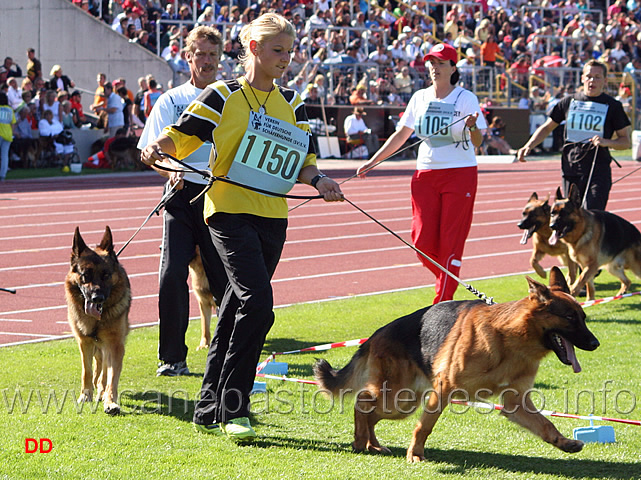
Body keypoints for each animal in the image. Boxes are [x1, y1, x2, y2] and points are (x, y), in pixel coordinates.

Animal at [64, 227, 130, 414]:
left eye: (106, 275)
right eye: (85, 275)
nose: (97, 298)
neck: (97, 320)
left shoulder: (115, 345)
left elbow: (111, 377)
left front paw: (111, 402)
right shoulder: (84, 342)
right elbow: (86, 371)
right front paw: (85, 395)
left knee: (104, 372)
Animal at [312, 268, 596, 464]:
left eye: (583, 317)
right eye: (570, 318)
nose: (595, 343)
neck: (510, 338)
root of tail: (375, 335)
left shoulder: (516, 403)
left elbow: (545, 424)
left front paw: (563, 442)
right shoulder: (444, 389)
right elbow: (425, 426)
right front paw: (415, 454)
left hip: (404, 402)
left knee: (369, 409)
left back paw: (372, 444)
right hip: (398, 398)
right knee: (362, 402)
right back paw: (361, 441)